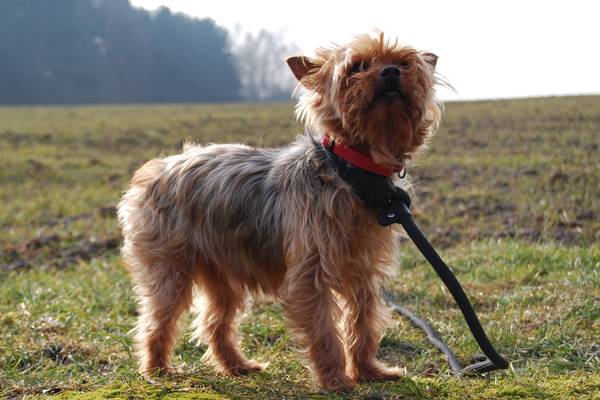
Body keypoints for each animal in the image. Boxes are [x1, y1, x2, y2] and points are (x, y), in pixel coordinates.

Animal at [117, 32, 441, 391]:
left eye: (404, 64)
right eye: (358, 67)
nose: (390, 73)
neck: (352, 171)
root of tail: (160, 167)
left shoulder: (363, 270)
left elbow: (363, 320)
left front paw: (368, 371)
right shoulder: (309, 275)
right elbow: (324, 330)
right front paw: (336, 380)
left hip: (222, 269)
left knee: (216, 320)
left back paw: (236, 365)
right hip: (170, 267)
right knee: (158, 318)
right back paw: (157, 369)